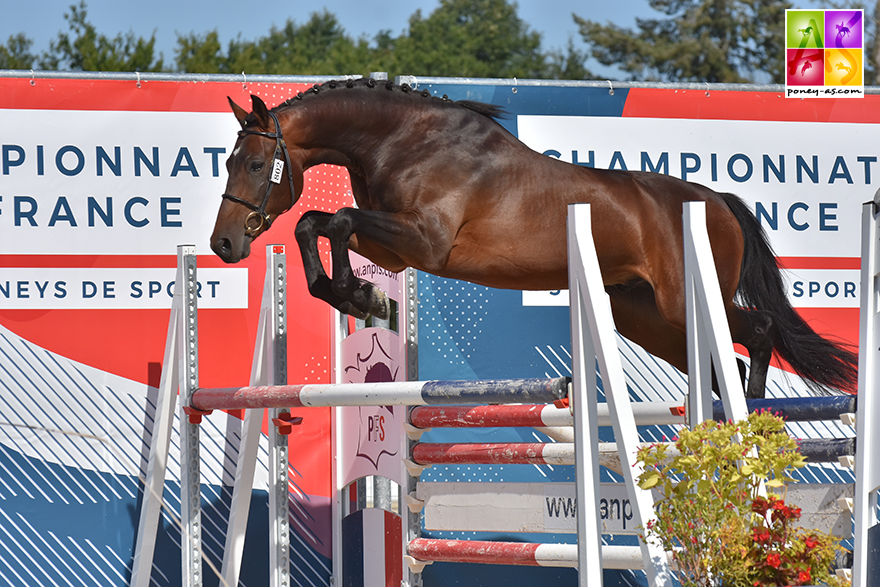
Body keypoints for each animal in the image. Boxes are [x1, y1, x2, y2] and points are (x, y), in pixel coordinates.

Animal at [210, 77, 856, 400]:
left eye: (253, 164)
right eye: (230, 162)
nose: (223, 247)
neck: (401, 139)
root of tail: (718, 200)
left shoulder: (423, 242)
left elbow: (337, 219)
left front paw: (357, 295)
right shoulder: (393, 246)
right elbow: (317, 224)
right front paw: (353, 295)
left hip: (683, 300)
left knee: (759, 330)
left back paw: (758, 413)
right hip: (645, 314)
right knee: (722, 363)